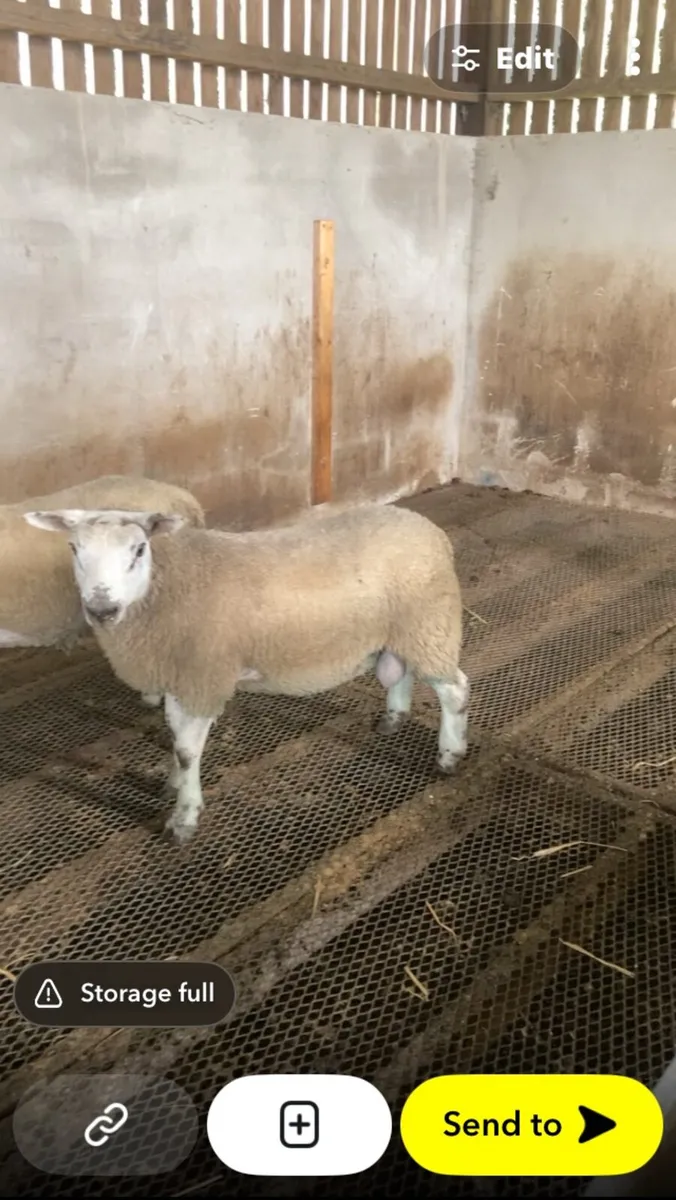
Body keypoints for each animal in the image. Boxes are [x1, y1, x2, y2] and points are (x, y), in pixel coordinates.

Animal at [24, 502, 469, 845]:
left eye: (138, 549)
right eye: (74, 547)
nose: (102, 610)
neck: (163, 585)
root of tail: (429, 529)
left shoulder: (204, 676)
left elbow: (188, 751)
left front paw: (184, 817)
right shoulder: (181, 677)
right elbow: (175, 737)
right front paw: (173, 782)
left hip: (430, 624)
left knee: (456, 691)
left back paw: (449, 754)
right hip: (402, 629)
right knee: (403, 671)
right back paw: (394, 716)